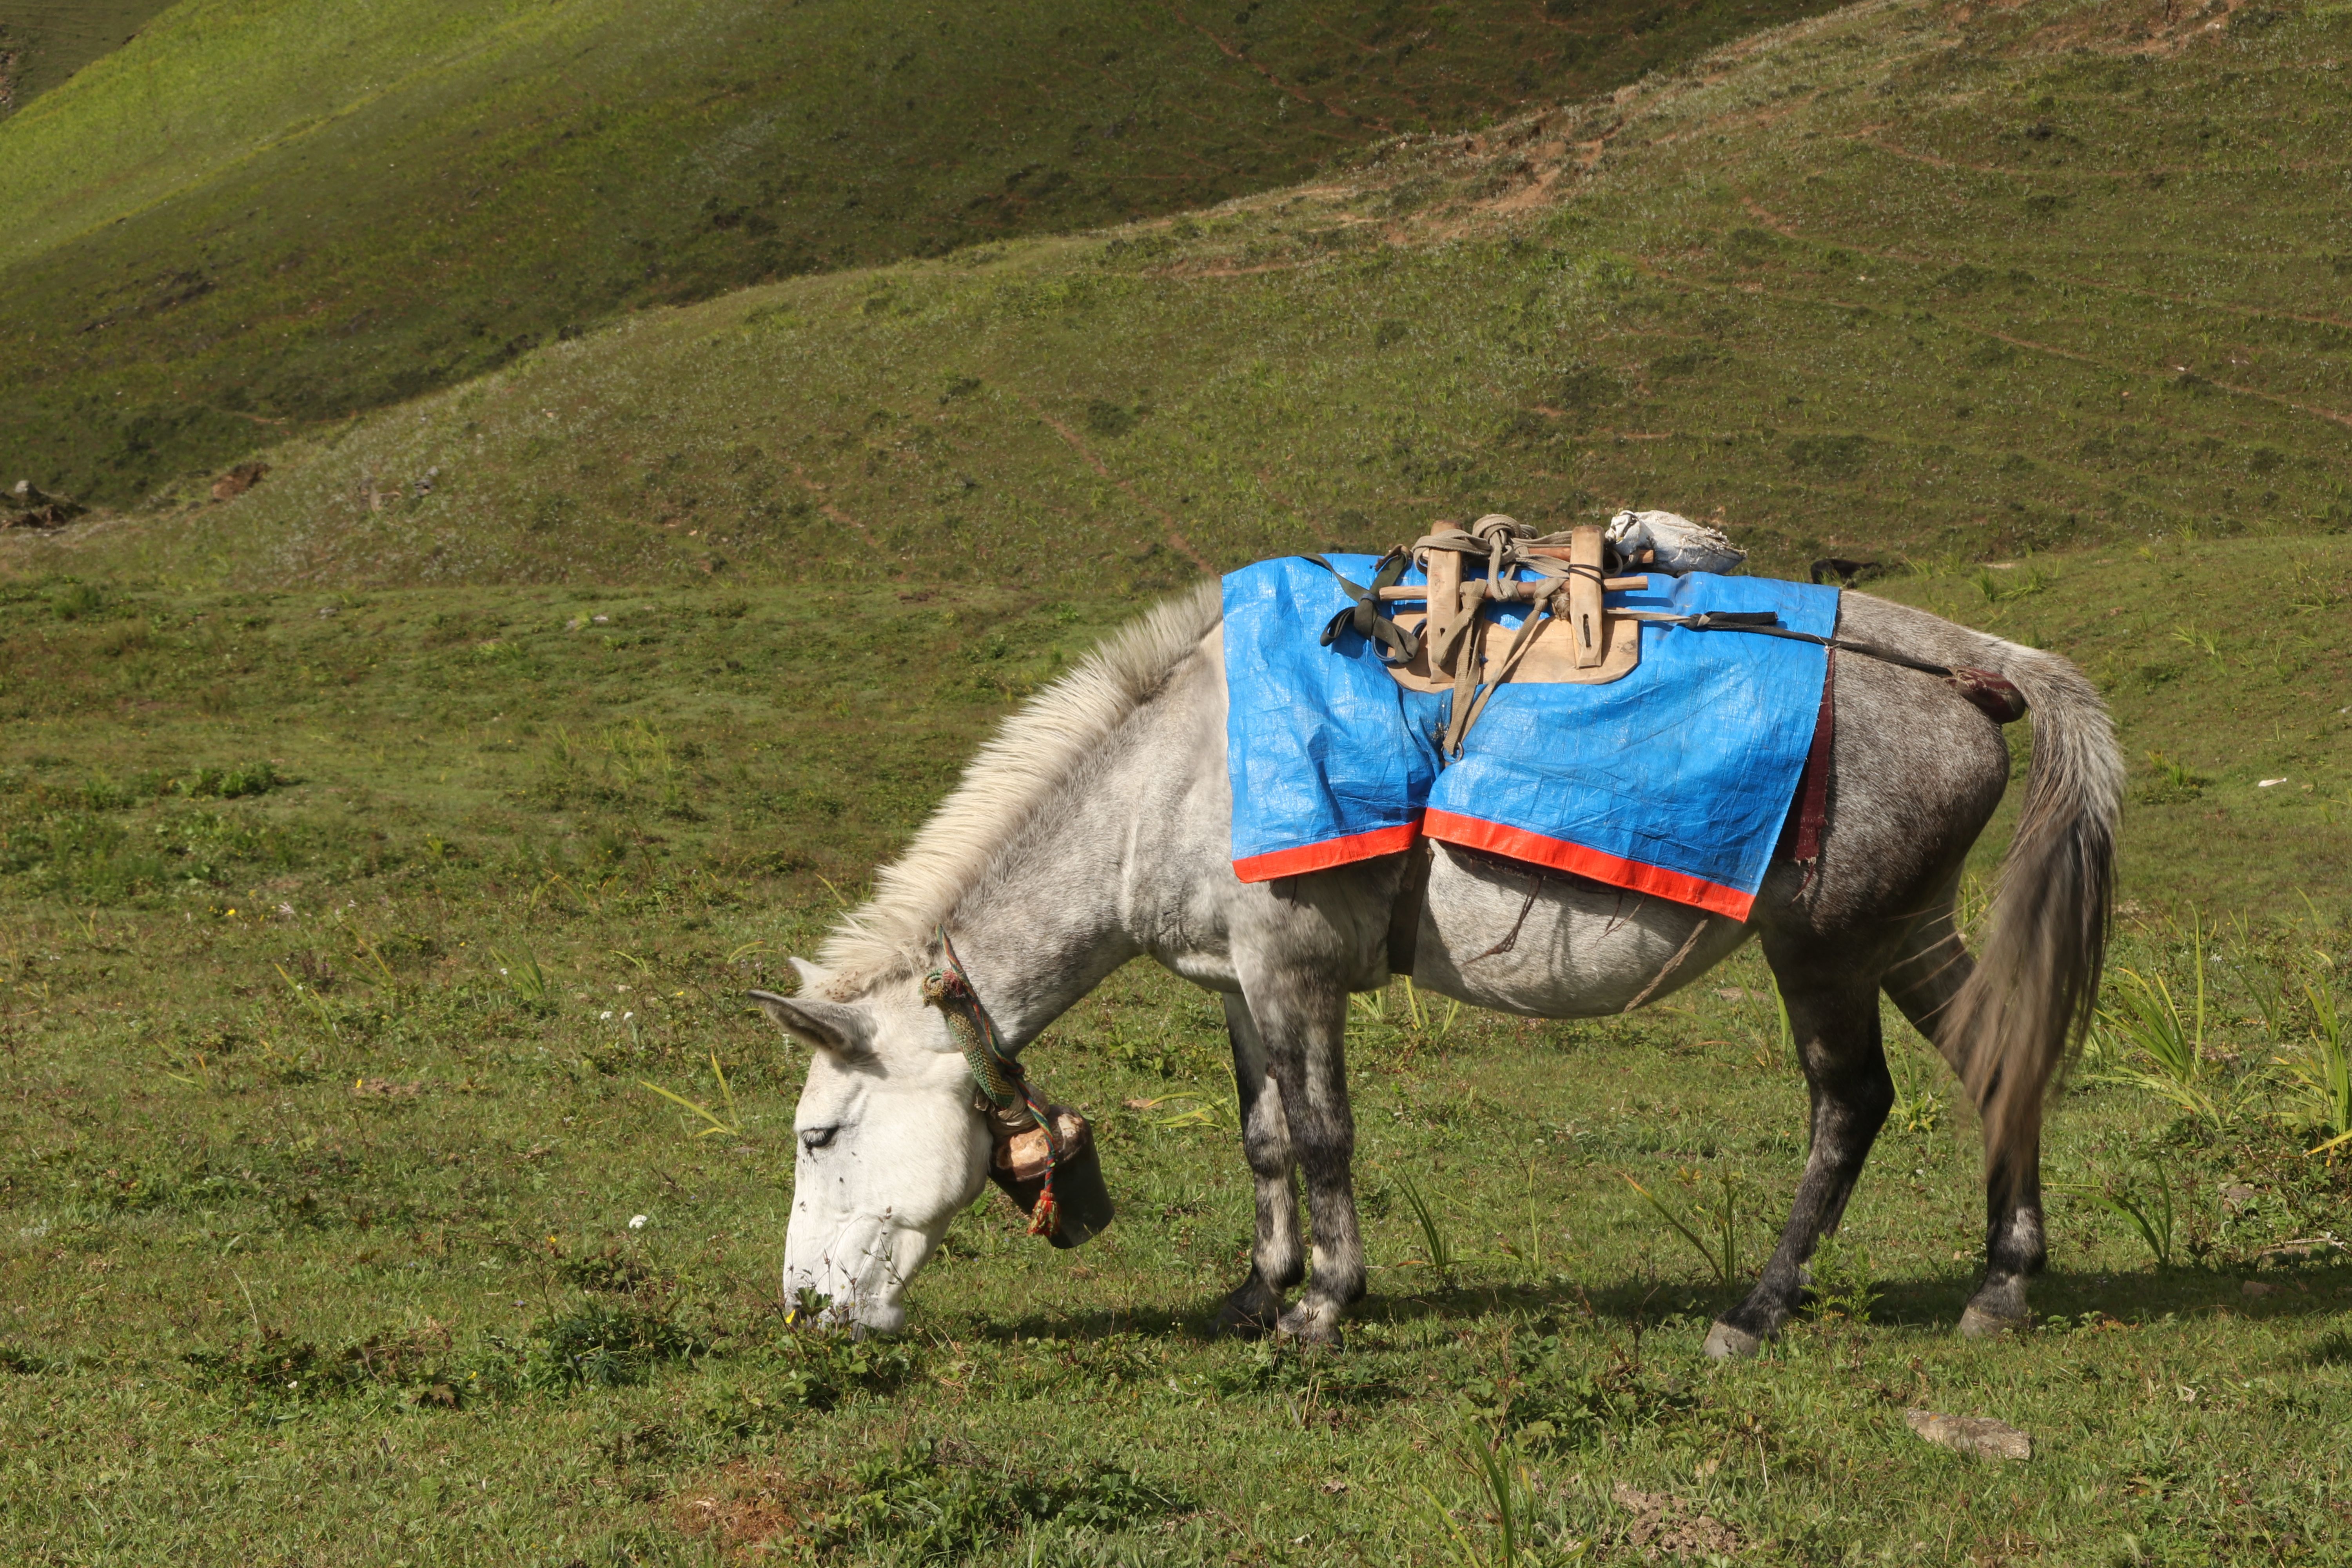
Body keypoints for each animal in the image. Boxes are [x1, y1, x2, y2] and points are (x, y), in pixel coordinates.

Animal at [750, 578, 2119, 1354]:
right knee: (1997, 1063)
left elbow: (1323, 1138)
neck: (1179, 772)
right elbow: (1263, 1140)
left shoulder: (1295, 968)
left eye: (820, 1136)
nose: (808, 1313)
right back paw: (2002, 1286)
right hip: (1909, 929)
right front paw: (1259, 1294)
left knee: (1850, 1105)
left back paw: (1758, 1309)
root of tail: (1975, 671)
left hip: (1824, 947)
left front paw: (1324, 1308)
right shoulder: (1241, 984)